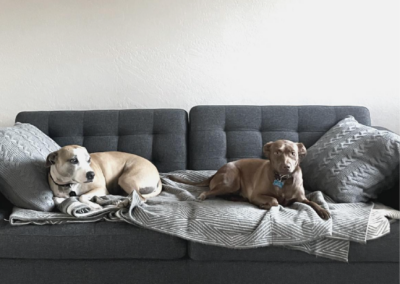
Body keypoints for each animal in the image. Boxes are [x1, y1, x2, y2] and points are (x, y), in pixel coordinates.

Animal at [172, 140, 332, 220]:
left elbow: (312, 202)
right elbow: (274, 201)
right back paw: (203, 196)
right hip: (232, 181)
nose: (286, 166)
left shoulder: (301, 198)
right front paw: (263, 205)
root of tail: (217, 172)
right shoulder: (257, 194)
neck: (282, 179)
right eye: (277, 152)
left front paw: (323, 211)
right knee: (209, 192)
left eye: (293, 153)